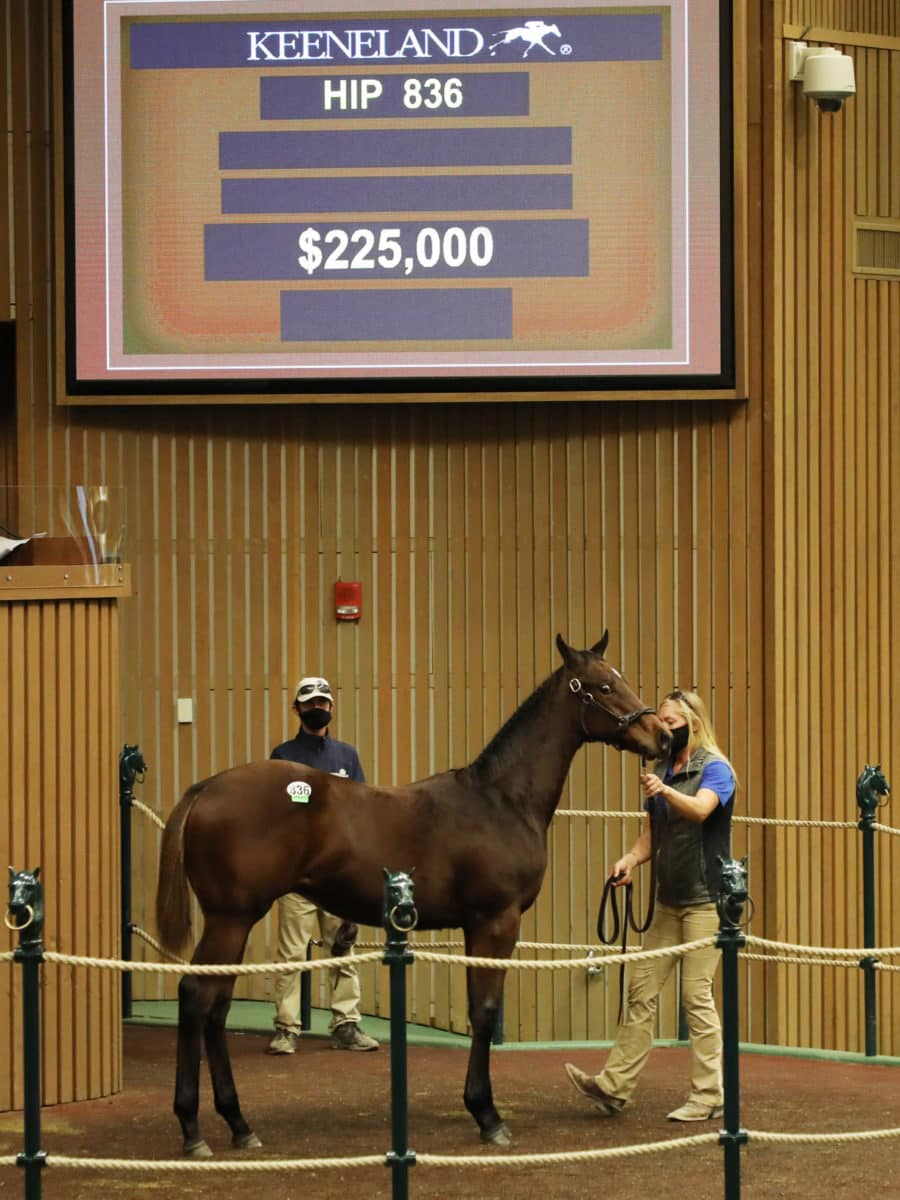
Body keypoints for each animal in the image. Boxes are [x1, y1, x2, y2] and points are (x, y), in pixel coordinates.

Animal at [154, 633, 672, 1156]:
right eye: (603, 686)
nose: (662, 736)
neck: (501, 799)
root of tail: (206, 788)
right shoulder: (498, 921)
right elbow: (486, 1011)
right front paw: (488, 1116)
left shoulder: (475, 927)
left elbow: (477, 1009)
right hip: (231, 917)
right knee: (197, 997)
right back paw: (193, 1128)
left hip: (235, 921)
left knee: (216, 1006)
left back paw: (238, 1123)